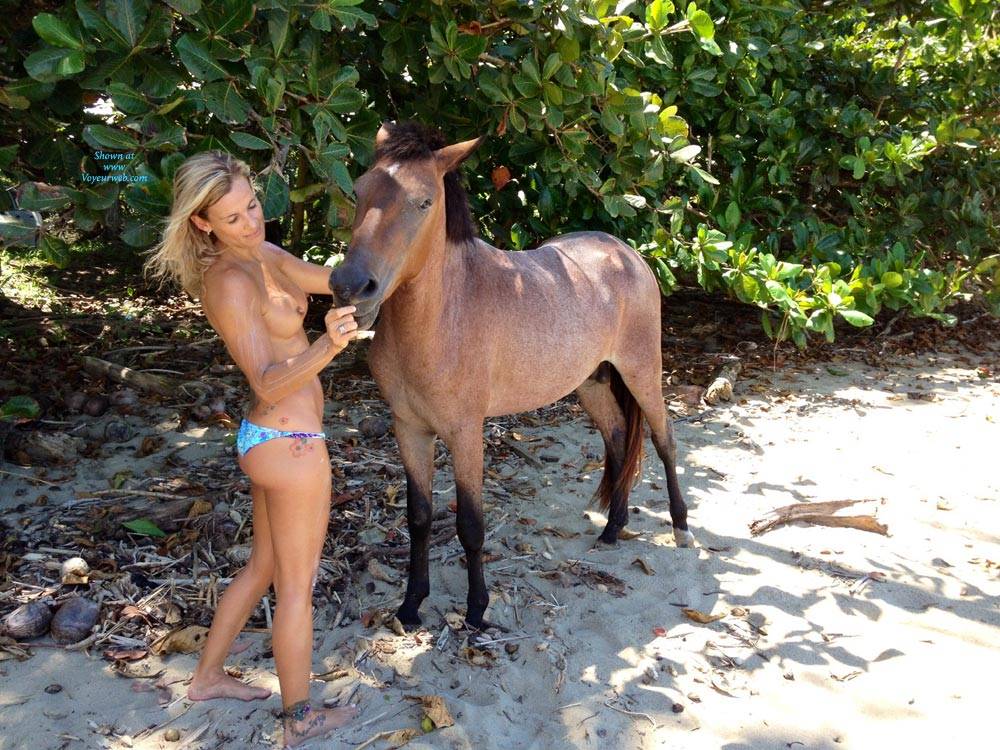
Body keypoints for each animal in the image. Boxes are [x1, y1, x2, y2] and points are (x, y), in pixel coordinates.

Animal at [329, 122, 693, 630]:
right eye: (360, 190)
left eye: (424, 202)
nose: (350, 287)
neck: (446, 315)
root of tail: (626, 254)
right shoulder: (410, 429)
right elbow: (419, 518)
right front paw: (411, 605)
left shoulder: (465, 432)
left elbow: (470, 525)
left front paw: (477, 611)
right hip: (592, 382)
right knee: (620, 438)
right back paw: (612, 529)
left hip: (642, 372)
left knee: (664, 439)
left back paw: (680, 526)